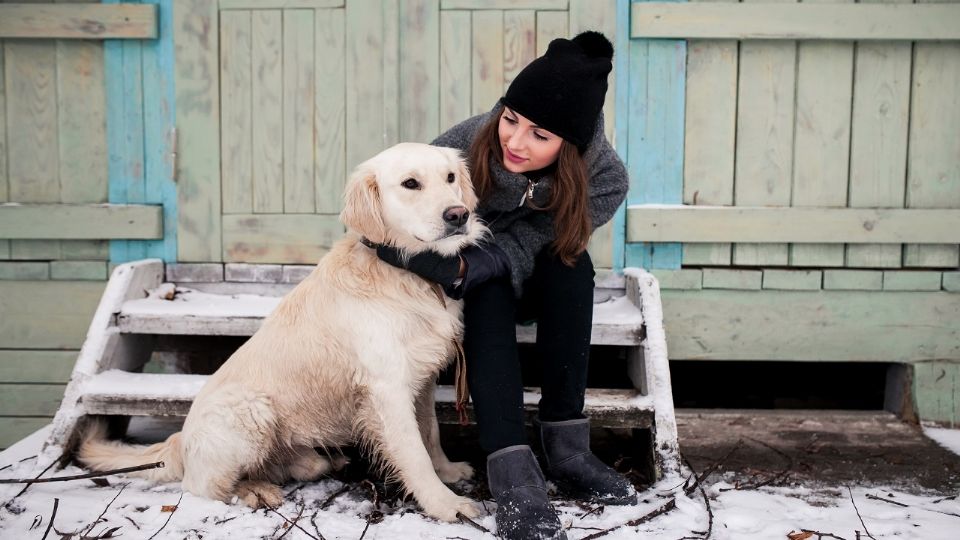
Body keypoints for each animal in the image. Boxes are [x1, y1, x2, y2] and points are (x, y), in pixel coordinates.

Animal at [79, 141, 488, 520]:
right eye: (410, 183)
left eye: (450, 178)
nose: (459, 215)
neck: (409, 273)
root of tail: (181, 439)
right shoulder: (388, 389)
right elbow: (414, 453)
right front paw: (446, 505)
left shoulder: (422, 378)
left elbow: (430, 432)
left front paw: (448, 471)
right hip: (250, 411)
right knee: (203, 487)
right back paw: (253, 492)